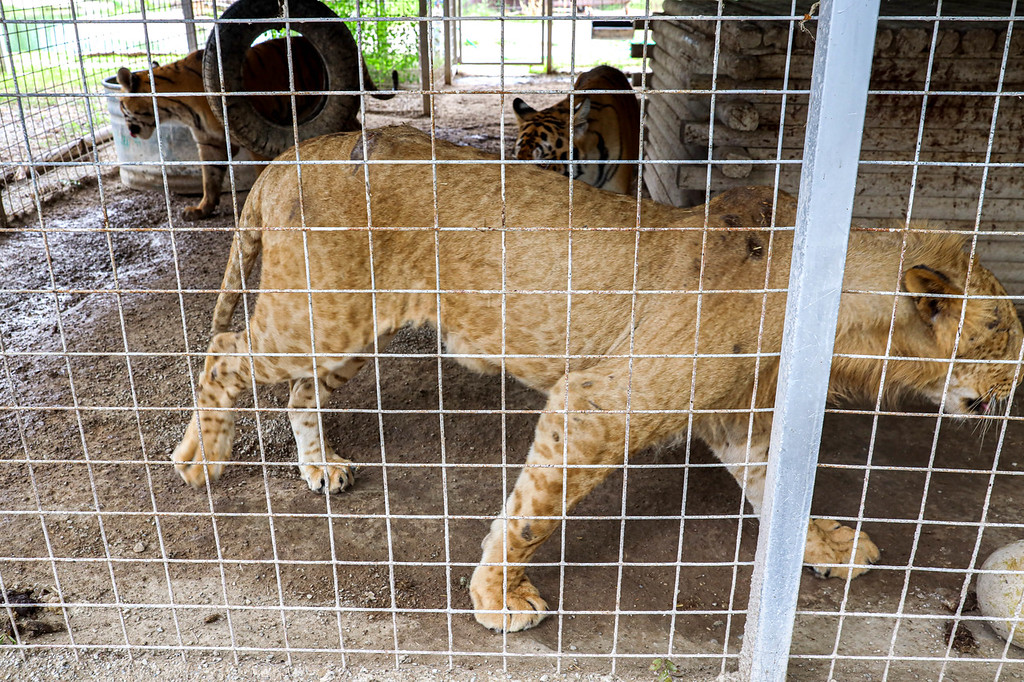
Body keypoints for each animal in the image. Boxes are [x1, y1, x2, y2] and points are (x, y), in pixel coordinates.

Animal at [116, 36, 395, 220]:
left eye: (120, 104)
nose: (128, 127)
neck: (177, 107)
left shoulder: (253, 139)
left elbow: (261, 175)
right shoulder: (209, 142)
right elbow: (209, 178)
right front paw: (201, 209)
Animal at [169, 124, 1024, 630]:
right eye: (1003, 338)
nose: (1016, 389)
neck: (838, 325)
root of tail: (293, 155)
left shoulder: (734, 416)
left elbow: (776, 483)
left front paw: (821, 543)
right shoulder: (600, 405)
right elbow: (529, 513)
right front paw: (496, 599)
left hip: (341, 332)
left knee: (299, 389)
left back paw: (320, 466)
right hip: (317, 318)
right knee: (226, 352)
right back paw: (201, 457)